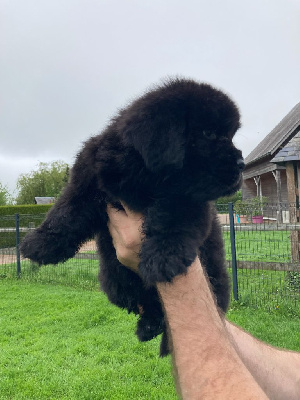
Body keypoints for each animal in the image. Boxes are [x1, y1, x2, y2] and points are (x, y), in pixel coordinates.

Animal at [22, 78, 245, 356]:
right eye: (208, 133)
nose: (242, 164)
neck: (143, 174)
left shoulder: (191, 199)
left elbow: (174, 221)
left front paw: (162, 257)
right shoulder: (89, 180)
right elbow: (65, 210)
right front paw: (40, 244)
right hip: (115, 282)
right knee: (149, 306)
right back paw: (147, 327)